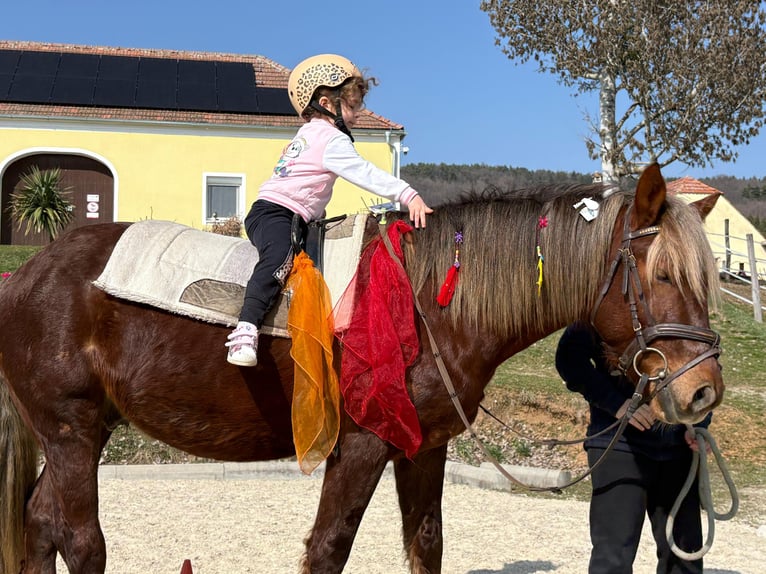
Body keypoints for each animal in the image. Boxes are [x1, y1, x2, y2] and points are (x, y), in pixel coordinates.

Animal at [0, 164, 724, 574]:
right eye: (662, 275)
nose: (702, 392)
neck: (427, 304)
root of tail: (28, 275)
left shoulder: (422, 448)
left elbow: (426, 544)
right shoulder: (362, 445)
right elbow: (329, 547)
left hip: (78, 434)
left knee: (39, 523)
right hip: (71, 432)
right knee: (81, 542)